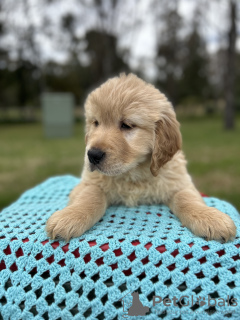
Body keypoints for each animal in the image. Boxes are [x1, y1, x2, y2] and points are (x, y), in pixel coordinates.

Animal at [46, 73, 236, 242]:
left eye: (127, 125)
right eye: (96, 123)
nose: (92, 155)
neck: (134, 174)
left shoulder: (180, 183)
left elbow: (187, 198)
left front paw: (210, 218)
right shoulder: (88, 182)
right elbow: (91, 195)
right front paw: (69, 217)